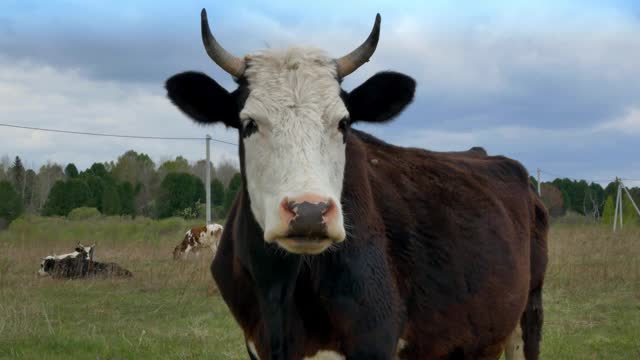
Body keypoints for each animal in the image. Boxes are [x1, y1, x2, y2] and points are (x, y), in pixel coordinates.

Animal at [166, 9, 552, 360]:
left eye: (343, 123)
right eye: (248, 123)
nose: (309, 212)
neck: (281, 291)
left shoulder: (374, 342)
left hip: (529, 312)